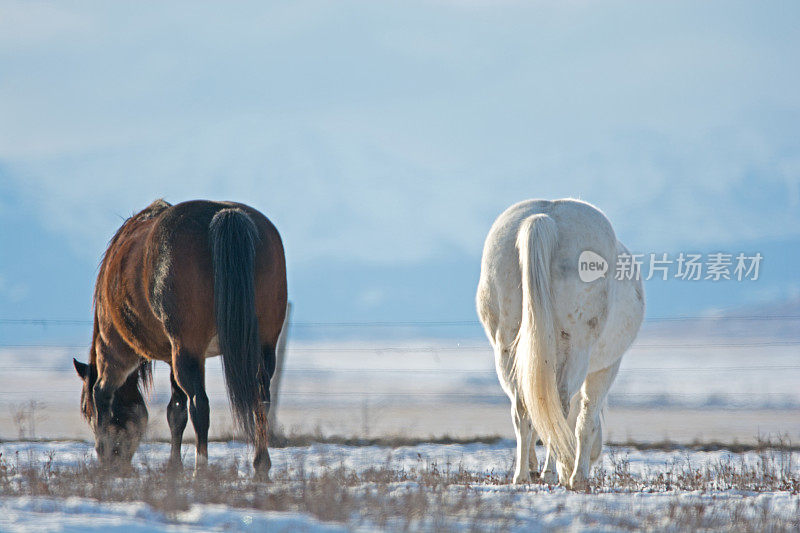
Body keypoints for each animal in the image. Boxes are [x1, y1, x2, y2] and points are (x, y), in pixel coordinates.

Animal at [70, 198, 286, 474]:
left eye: (85, 411)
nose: (115, 462)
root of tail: (224, 213)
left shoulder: (116, 349)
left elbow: (104, 394)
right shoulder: (176, 357)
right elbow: (176, 411)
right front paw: (174, 467)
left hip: (183, 349)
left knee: (199, 404)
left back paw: (200, 470)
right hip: (262, 347)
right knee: (261, 401)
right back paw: (260, 466)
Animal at [476, 197, 644, 488]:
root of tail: (544, 220)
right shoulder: (606, 368)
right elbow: (585, 419)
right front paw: (577, 475)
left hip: (506, 346)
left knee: (522, 406)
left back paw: (522, 475)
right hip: (576, 349)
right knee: (560, 403)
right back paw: (552, 472)